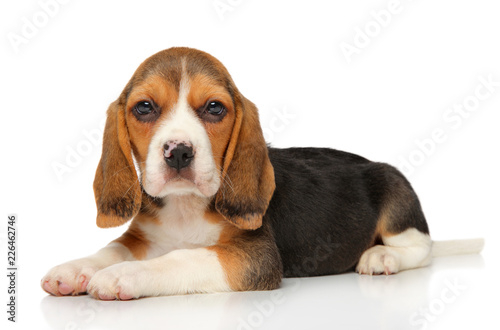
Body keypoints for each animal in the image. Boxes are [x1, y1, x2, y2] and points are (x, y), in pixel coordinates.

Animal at [41, 47, 482, 302]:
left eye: (215, 108)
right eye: (144, 107)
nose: (179, 152)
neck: (185, 207)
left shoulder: (255, 257)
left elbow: (182, 257)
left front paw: (124, 275)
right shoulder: (143, 236)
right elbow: (112, 249)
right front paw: (76, 269)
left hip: (395, 189)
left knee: (421, 248)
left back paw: (381, 256)